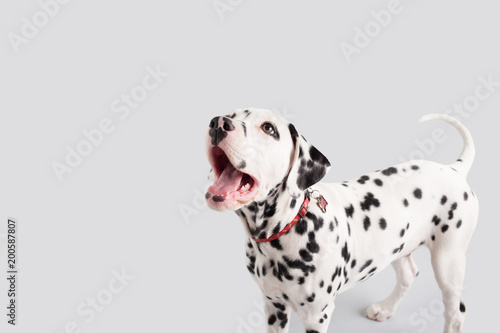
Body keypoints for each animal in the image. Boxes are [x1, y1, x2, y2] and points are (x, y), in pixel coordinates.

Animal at [205, 107, 478, 330]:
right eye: (232, 114)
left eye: (268, 128)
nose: (218, 123)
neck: (290, 227)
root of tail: (454, 169)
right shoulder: (274, 306)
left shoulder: (317, 316)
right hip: (397, 247)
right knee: (409, 274)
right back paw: (385, 308)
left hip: (448, 262)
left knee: (456, 312)